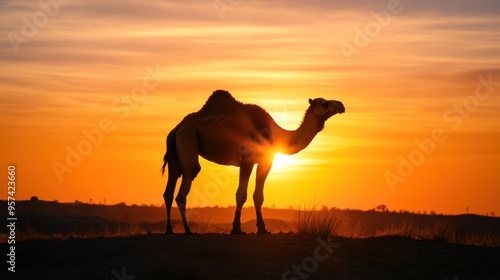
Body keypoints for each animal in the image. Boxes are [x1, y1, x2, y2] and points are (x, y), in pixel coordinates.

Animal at [160, 90, 344, 234]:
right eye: (324, 103)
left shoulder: (266, 161)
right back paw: (188, 230)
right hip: (188, 138)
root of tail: (178, 127)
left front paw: (262, 228)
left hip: (175, 152)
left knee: (169, 191)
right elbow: (241, 195)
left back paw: (169, 229)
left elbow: (258, 196)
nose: (341, 105)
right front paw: (236, 229)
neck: (276, 135)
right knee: (184, 185)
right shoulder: (247, 159)